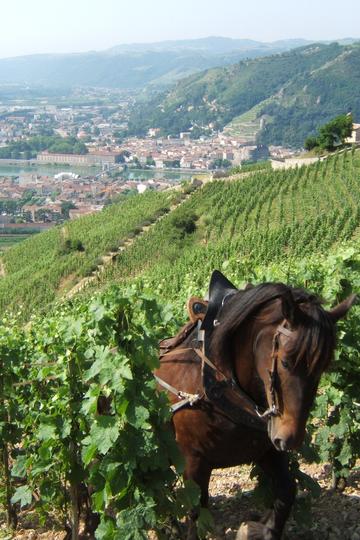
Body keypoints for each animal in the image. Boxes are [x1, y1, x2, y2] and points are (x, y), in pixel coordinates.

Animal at [155, 272, 354, 536]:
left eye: (324, 366)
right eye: (286, 362)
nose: (290, 439)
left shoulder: (267, 449)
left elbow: (286, 492)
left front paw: (265, 527)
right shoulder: (193, 461)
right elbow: (195, 515)